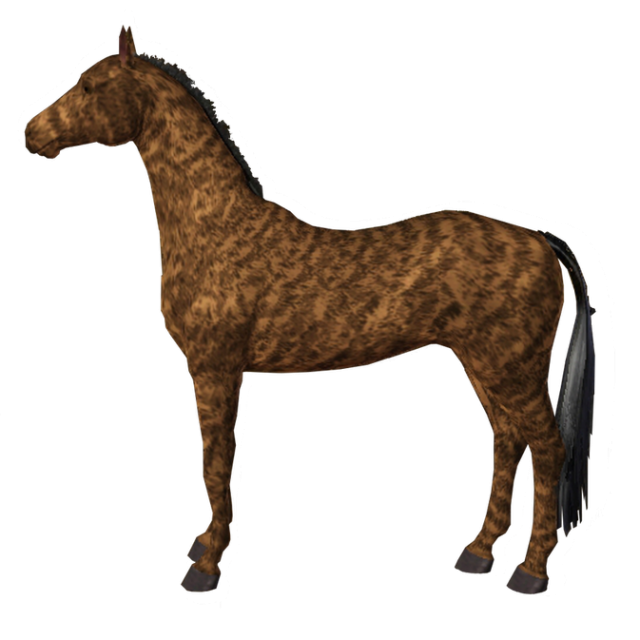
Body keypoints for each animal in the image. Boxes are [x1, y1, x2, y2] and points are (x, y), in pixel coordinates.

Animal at [23, 24, 596, 596]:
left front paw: (207, 566)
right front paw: (205, 545)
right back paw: (478, 553)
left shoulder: (217, 369)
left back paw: (530, 572)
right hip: (481, 364)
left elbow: (215, 464)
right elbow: (213, 464)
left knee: (548, 450)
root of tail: (541, 240)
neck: (216, 226)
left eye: (92, 87)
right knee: (508, 441)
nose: (31, 134)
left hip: (512, 368)